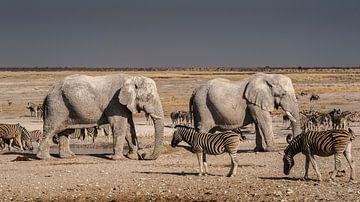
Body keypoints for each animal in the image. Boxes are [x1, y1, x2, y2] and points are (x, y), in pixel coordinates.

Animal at [37, 73, 165, 160]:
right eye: (148, 98)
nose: (144, 155)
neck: (132, 78)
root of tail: (48, 92)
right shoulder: (115, 103)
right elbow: (119, 126)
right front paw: (117, 159)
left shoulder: (124, 104)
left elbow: (129, 127)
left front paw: (132, 157)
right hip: (56, 106)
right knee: (52, 129)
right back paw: (44, 158)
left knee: (65, 131)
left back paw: (68, 157)